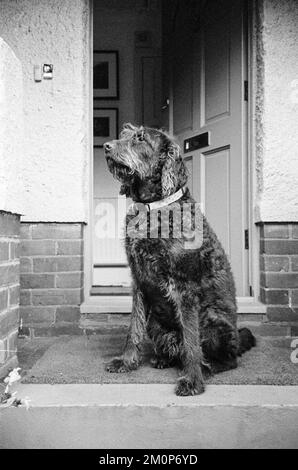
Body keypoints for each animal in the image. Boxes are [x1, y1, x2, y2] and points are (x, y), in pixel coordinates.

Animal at [103, 123, 255, 394]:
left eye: (140, 137)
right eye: (125, 133)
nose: (105, 146)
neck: (154, 207)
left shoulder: (185, 287)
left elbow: (192, 340)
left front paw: (193, 380)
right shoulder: (139, 282)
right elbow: (133, 328)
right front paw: (127, 361)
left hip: (214, 323)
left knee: (227, 359)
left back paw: (207, 368)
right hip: (156, 322)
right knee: (174, 346)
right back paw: (163, 359)